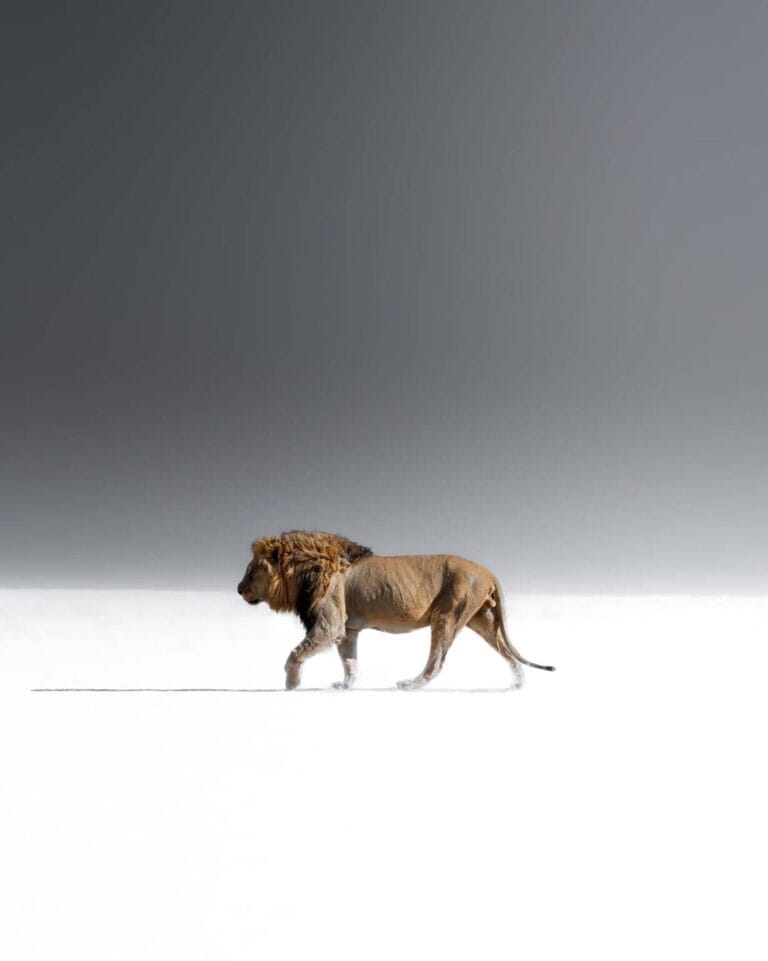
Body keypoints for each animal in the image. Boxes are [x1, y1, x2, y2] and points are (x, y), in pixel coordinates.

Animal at [237, 530, 555, 690]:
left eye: (251, 571)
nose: (238, 589)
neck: (303, 570)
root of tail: (489, 572)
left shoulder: (330, 624)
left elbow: (295, 654)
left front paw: (291, 684)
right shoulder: (347, 628)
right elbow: (350, 661)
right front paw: (346, 685)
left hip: (448, 615)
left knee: (437, 661)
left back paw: (410, 685)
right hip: (483, 620)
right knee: (505, 650)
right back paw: (518, 683)